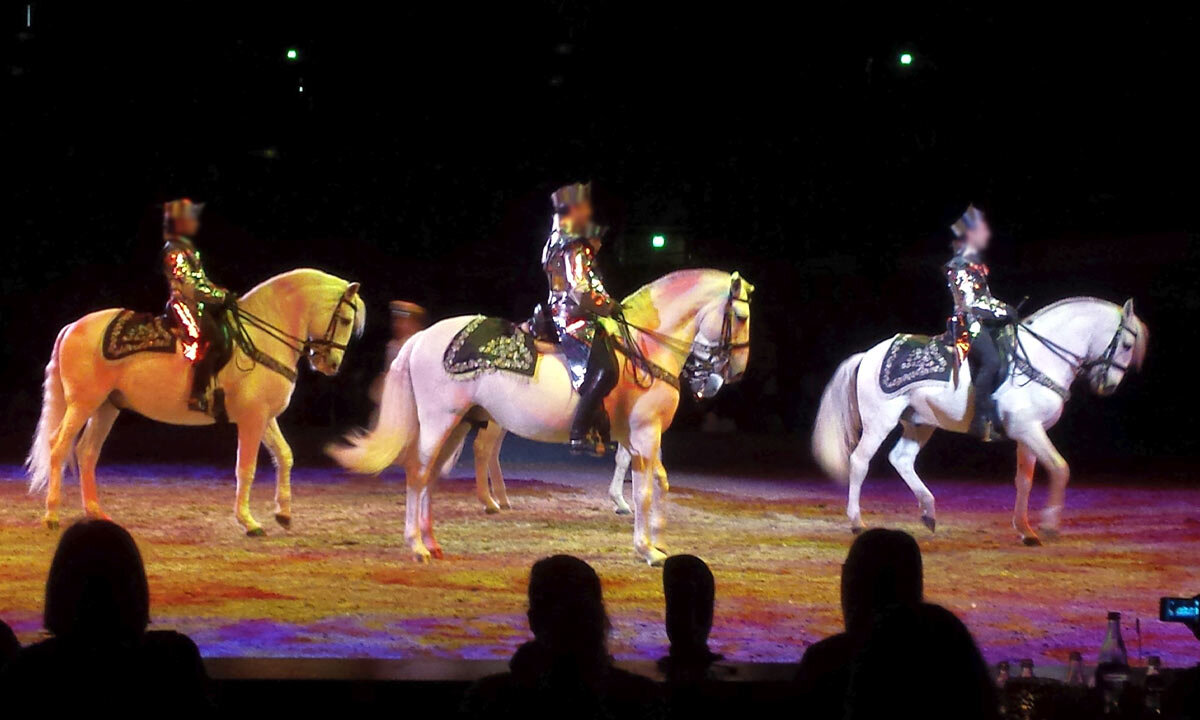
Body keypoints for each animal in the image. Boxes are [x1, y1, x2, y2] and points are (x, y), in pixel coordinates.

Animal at [26, 268, 366, 535]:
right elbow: (246, 467)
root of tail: (72, 327)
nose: (331, 364)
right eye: (346, 319)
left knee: (87, 452)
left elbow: (285, 455)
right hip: (83, 404)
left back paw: (96, 512)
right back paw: (52, 516)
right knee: (59, 447)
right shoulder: (252, 419)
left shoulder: (265, 417)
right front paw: (249, 522)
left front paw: (283, 514)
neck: (259, 337)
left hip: (107, 407)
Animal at [329, 269, 753, 565]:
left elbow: (659, 484)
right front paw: (647, 550)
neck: (645, 346)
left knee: (432, 477)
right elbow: (645, 491)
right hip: (440, 421)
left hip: (460, 423)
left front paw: (657, 541)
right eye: (741, 315)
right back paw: (417, 546)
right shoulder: (645, 434)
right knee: (419, 474)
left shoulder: (640, 438)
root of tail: (421, 338)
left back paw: (432, 541)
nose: (732, 373)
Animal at [812, 296, 1148, 545]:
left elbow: (1024, 480)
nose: (1108, 386)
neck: (1041, 358)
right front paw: (1050, 526)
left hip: (920, 422)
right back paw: (857, 521)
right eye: (1127, 345)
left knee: (902, 459)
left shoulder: (1029, 432)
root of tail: (868, 353)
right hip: (880, 421)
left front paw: (1026, 530)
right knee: (860, 461)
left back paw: (928, 512)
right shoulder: (1029, 429)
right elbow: (1060, 468)